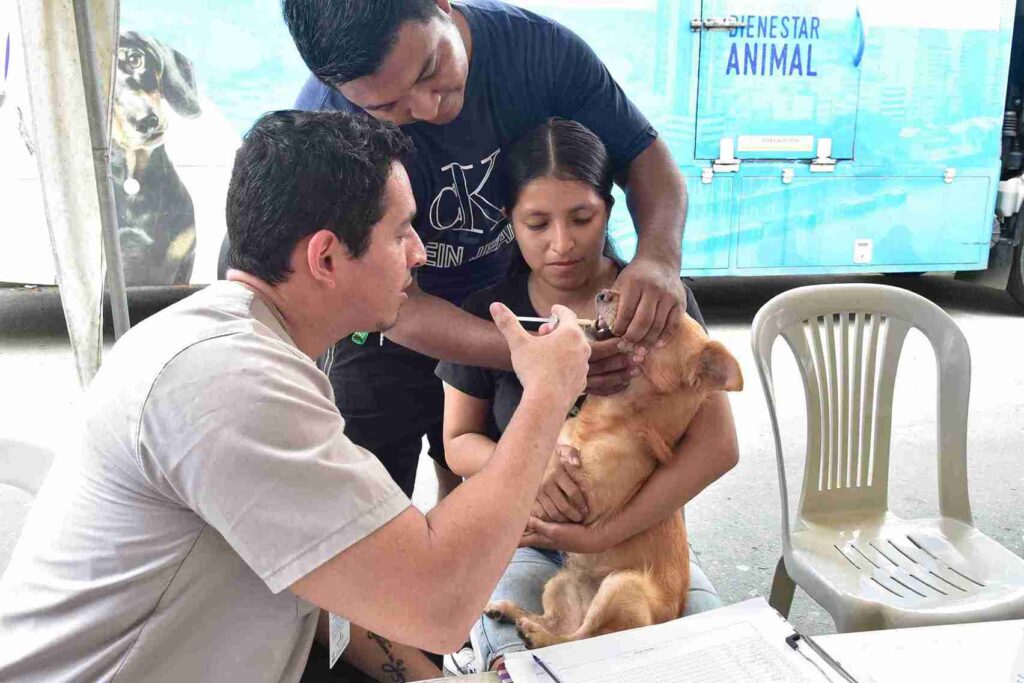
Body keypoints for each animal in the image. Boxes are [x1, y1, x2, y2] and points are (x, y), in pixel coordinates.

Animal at [483, 286, 741, 647]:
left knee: (578, 638)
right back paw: (513, 614)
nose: (605, 292)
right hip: (560, 584)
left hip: (621, 585)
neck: (606, 423)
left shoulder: (581, 504)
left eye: (662, 322)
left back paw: (535, 634)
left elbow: (527, 506)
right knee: (562, 626)